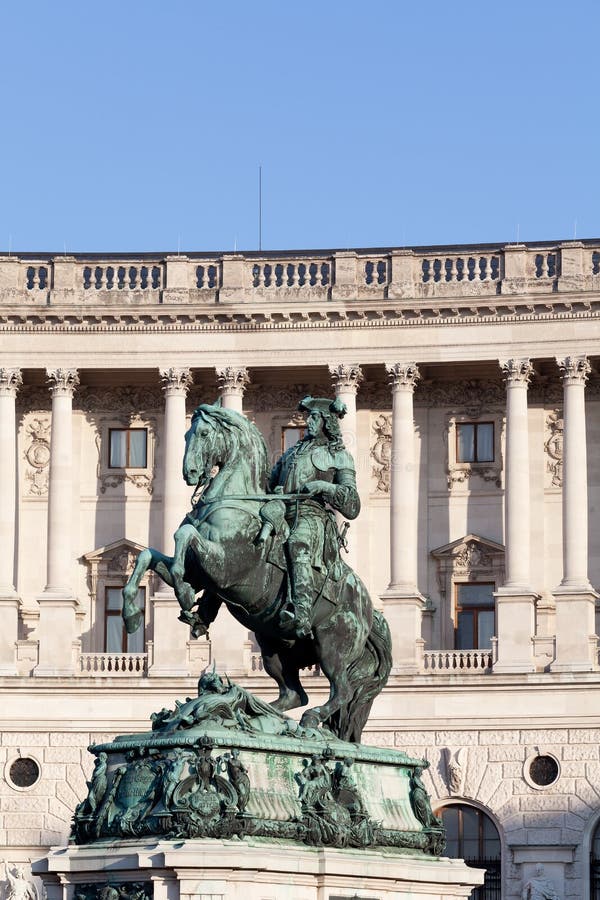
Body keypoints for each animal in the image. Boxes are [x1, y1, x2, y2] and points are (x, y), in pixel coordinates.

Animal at [124, 404, 392, 740]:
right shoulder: (203, 573)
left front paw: (182, 592)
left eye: (204, 433)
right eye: (185, 434)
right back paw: (257, 712)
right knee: (294, 694)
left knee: (339, 690)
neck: (235, 501)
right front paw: (133, 613)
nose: (190, 474)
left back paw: (305, 718)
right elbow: (151, 554)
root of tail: (370, 608)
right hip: (272, 646)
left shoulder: (225, 567)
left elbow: (183, 537)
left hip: (333, 644)